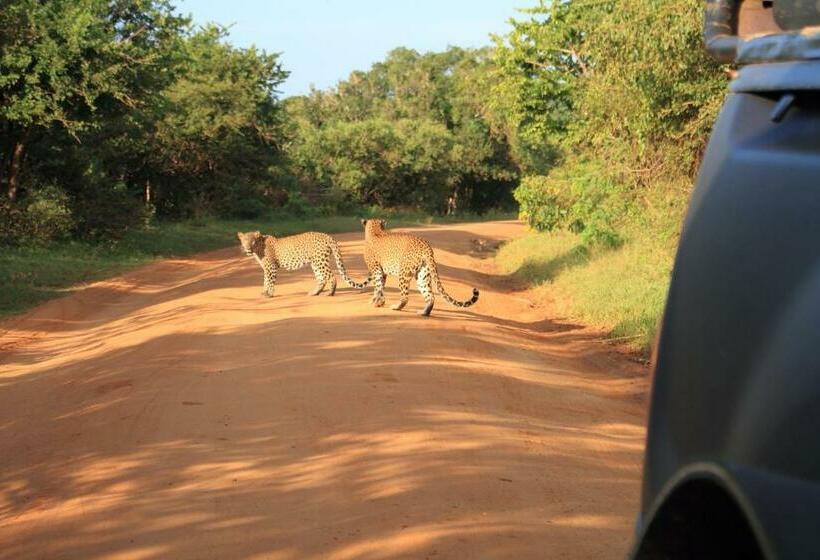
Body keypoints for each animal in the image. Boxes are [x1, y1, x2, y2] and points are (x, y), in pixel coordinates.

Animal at [237, 231, 368, 298]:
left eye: (252, 241)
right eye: (244, 241)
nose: (248, 248)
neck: (258, 248)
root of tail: (327, 235)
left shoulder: (271, 267)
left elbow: (270, 281)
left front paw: (269, 294)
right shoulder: (266, 268)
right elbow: (265, 281)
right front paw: (264, 292)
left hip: (320, 261)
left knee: (331, 276)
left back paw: (330, 293)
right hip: (315, 262)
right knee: (321, 278)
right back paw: (315, 293)